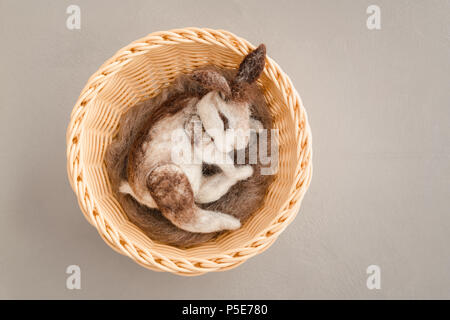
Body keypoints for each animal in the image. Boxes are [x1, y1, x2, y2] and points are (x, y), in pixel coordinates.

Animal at [105, 43, 274, 248]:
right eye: (224, 119)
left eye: (249, 110)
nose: (241, 142)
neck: (202, 108)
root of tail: (135, 192)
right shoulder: (204, 142)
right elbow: (225, 161)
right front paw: (238, 169)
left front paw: (256, 127)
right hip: (169, 181)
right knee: (191, 218)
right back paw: (233, 220)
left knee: (202, 194)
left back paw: (244, 174)